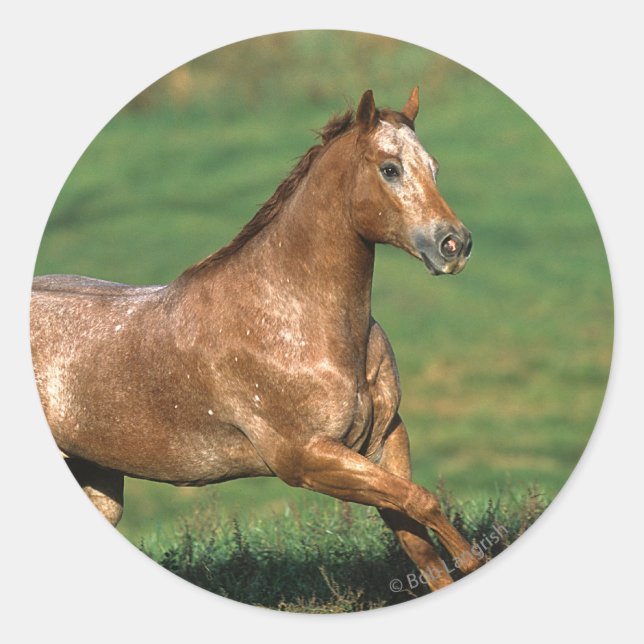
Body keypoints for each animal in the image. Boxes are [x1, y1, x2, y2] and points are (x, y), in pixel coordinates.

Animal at [30, 88, 478, 590]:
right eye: (390, 169)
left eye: (433, 166)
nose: (454, 245)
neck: (292, 320)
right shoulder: (308, 459)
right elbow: (423, 502)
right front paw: (474, 560)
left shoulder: (383, 439)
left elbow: (416, 536)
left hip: (97, 479)